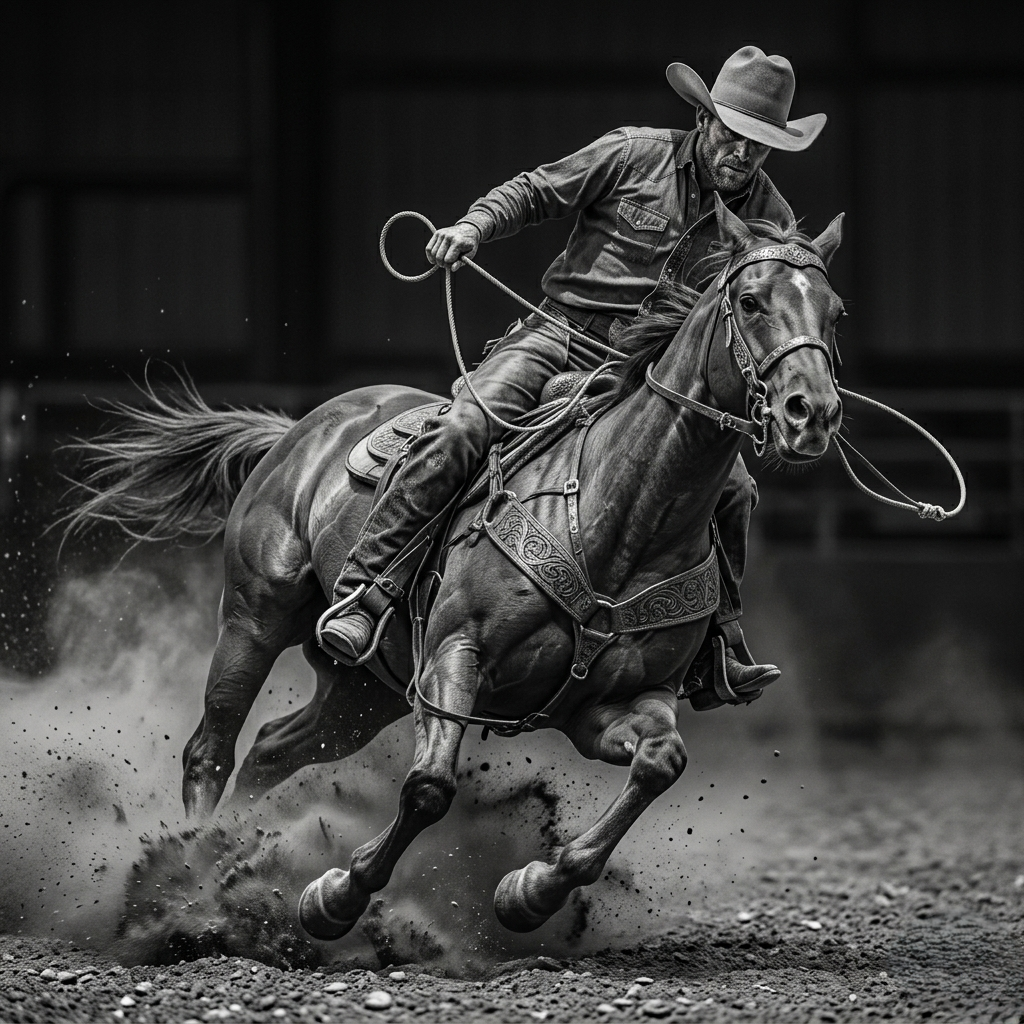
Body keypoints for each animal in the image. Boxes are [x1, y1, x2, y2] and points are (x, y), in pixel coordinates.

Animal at [66, 197, 844, 941]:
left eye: (834, 313)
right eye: (752, 301)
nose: (812, 412)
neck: (618, 514)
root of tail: (297, 429)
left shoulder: (617, 701)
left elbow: (660, 763)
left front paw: (529, 892)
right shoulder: (454, 653)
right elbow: (429, 787)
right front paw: (332, 899)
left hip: (363, 693)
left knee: (270, 751)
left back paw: (226, 861)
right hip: (256, 617)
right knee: (212, 746)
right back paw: (185, 874)